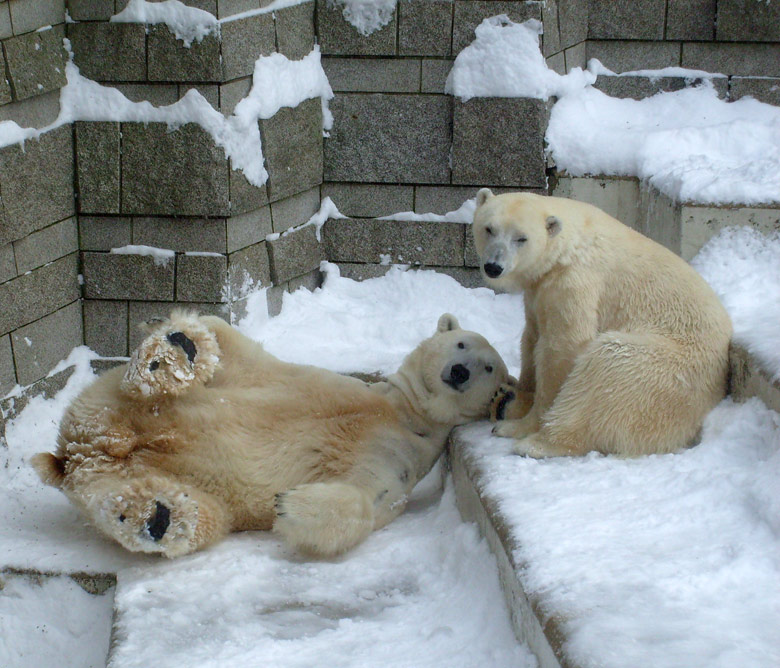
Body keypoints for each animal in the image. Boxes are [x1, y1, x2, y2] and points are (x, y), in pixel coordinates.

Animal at [32, 314, 506, 560]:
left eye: (489, 367)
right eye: (462, 344)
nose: (460, 372)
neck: (403, 412)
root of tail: (79, 453)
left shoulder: (401, 454)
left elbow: (366, 498)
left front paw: (291, 505)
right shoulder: (321, 384)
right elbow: (241, 353)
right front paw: (186, 346)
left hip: (161, 483)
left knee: (180, 513)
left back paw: (156, 516)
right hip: (107, 401)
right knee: (140, 390)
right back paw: (171, 356)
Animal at [472, 188, 736, 460]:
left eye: (521, 238)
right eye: (489, 228)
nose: (494, 266)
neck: (568, 246)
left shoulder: (575, 283)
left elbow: (562, 348)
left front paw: (521, 425)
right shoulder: (538, 290)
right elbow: (532, 337)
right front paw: (516, 397)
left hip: (668, 371)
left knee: (606, 369)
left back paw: (538, 442)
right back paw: (504, 400)